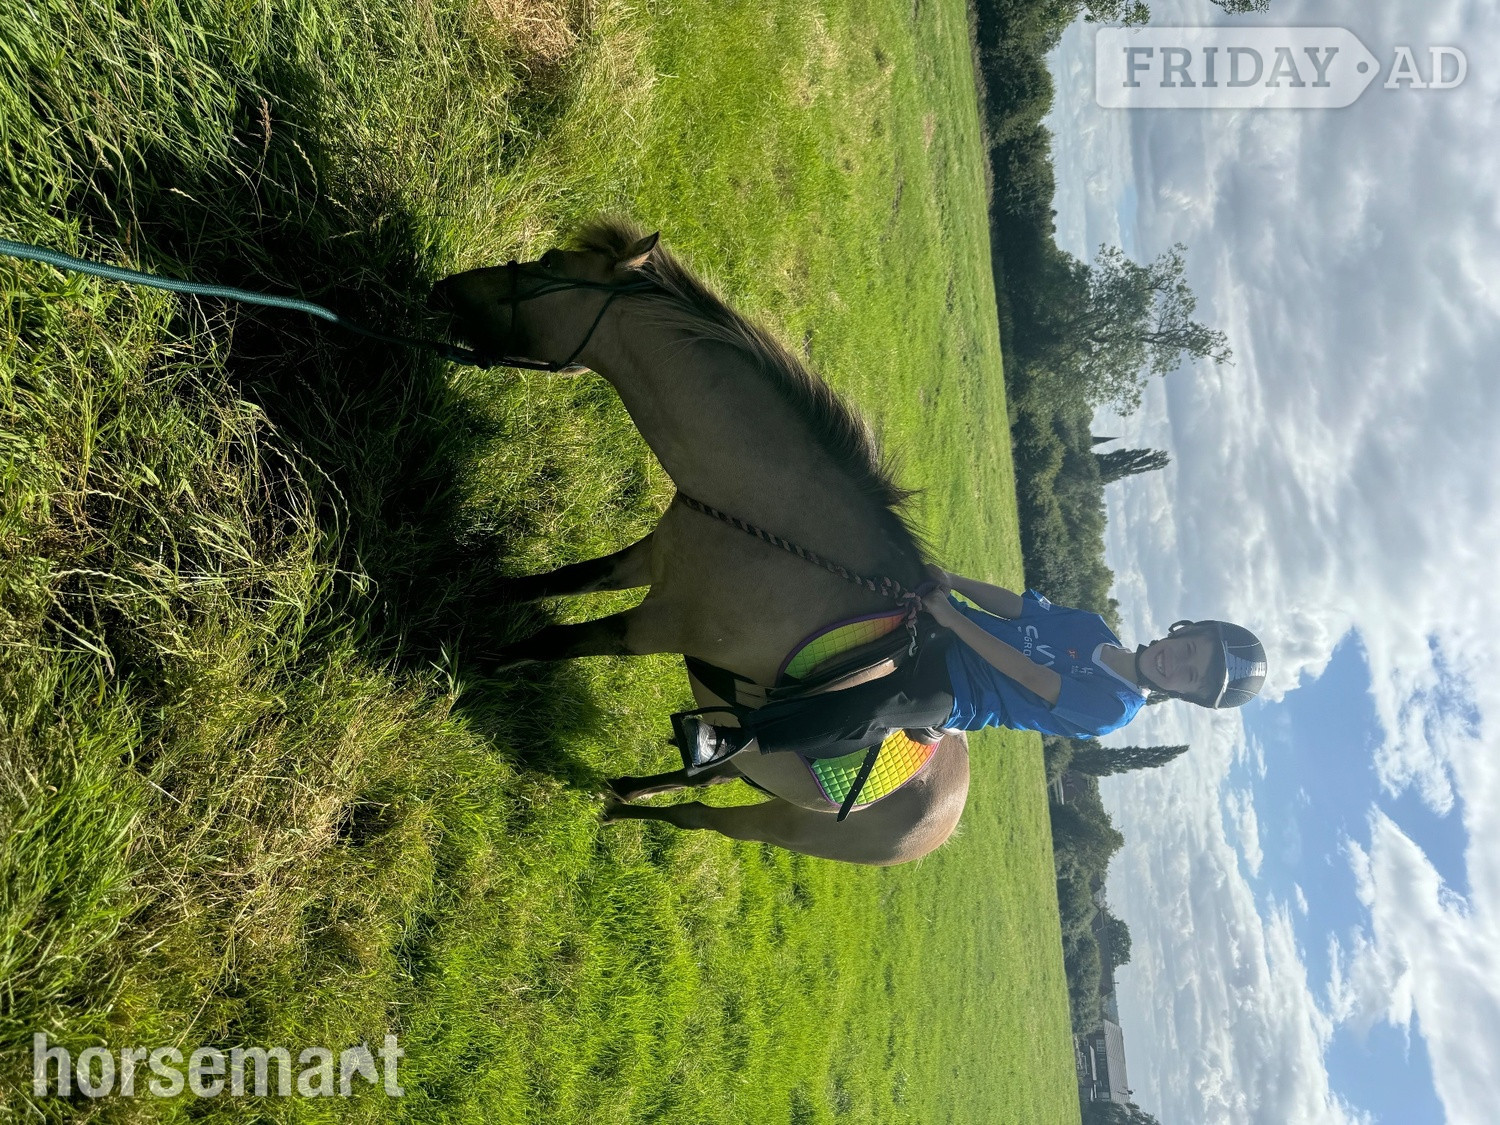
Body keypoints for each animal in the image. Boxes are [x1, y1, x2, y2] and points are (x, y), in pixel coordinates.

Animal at [430, 217, 969, 865]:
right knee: (710, 772)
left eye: (550, 263)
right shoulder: (653, 558)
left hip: (775, 823)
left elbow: (556, 640)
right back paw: (631, 785)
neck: (770, 532)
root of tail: (946, 816)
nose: (441, 290)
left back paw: (621, 807)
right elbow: (563, 580)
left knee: (699, 814)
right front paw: (473, 589)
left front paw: (473, 660)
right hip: (755, 763)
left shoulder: (656, 627)